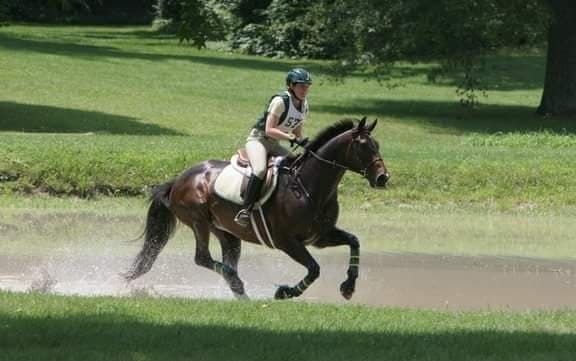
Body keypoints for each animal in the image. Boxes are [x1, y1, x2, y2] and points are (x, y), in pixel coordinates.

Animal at [124, 116, 390, 300]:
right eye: (364, 147)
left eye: (377, 144)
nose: (383, 178)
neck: (310, 187)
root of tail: (180, 178)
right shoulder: (286, 241)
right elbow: (314, 269)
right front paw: (285, 292)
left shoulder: (320, 236)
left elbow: (354, 241)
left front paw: (348, 287)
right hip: (198, 221)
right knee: (202, 258)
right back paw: (235, 280)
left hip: (226, 232)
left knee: (226, 257)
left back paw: (240, 290)